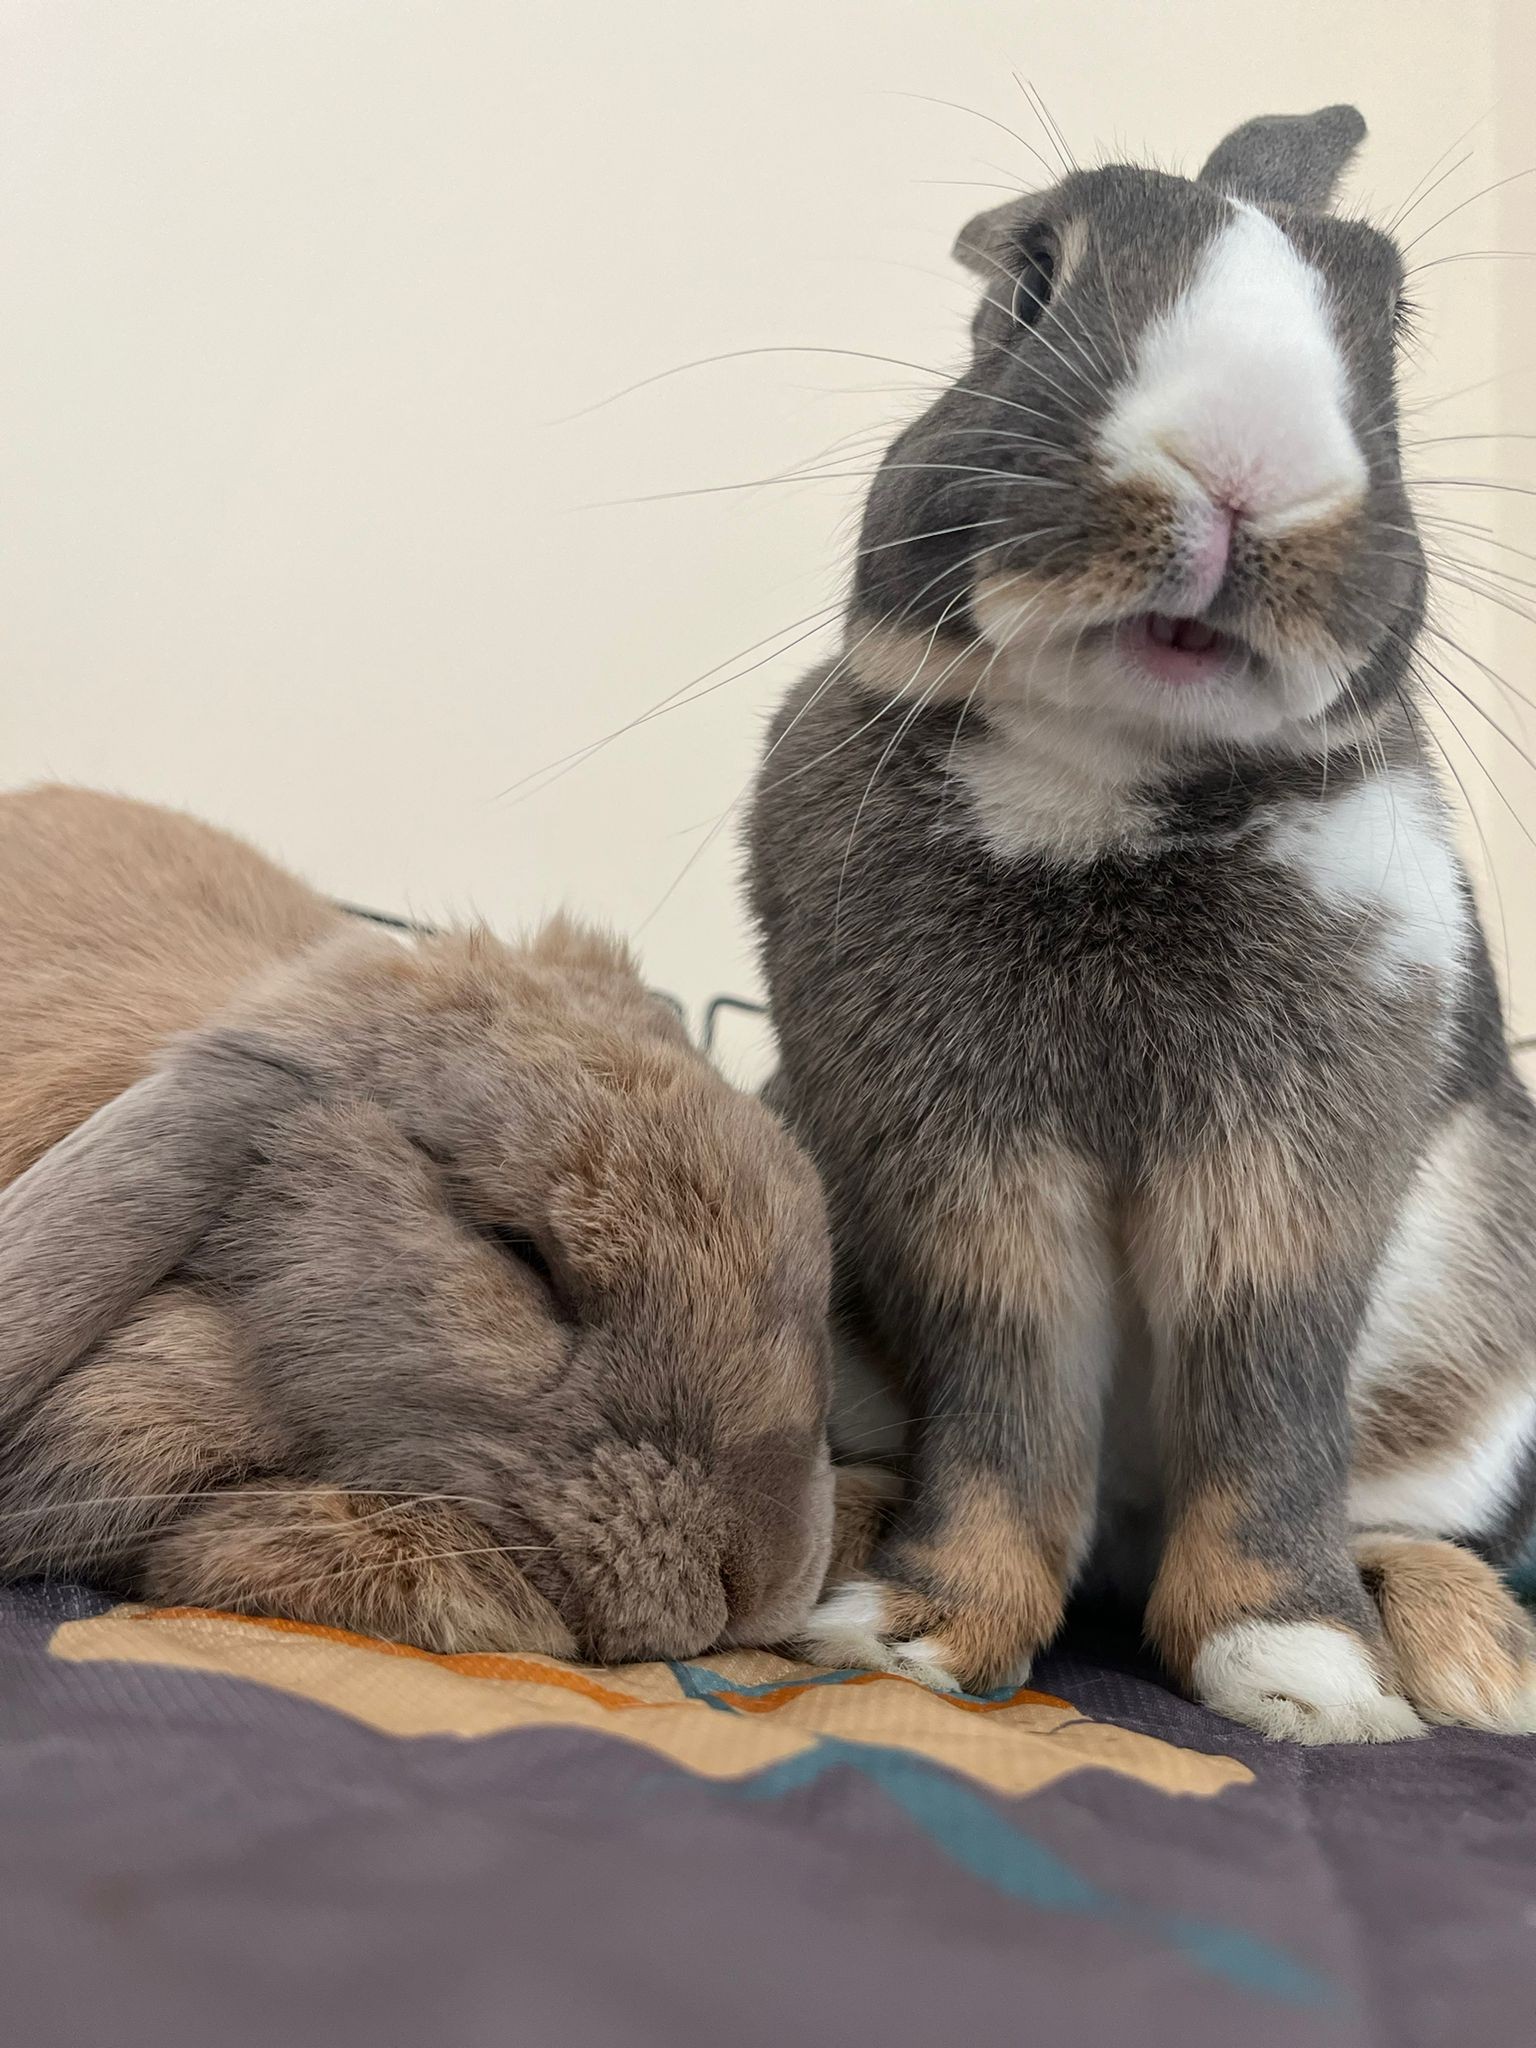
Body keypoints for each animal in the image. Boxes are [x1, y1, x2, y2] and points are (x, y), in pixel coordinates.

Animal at [747, 105, 1536, 1740]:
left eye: (1387, 326)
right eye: (1032, 284)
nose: (1245, 462)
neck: (1108, 780)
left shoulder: (1293, 1178)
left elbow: (1266, 1391)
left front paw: (1300, 1670)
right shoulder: (962, 1177)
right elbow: (1006, 1394)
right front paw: (920, 1635)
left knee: (1409, 1522)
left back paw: (1473, 1659)